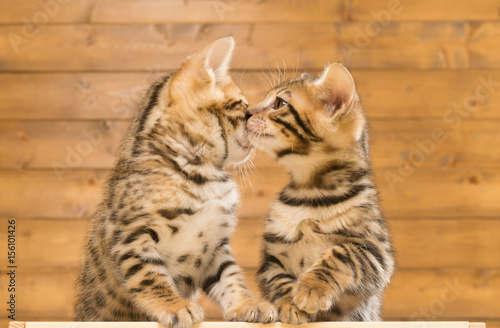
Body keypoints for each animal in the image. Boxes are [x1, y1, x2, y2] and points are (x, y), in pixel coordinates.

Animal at [74, 37, 276, 328]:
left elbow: (231, 278)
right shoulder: (130, 238)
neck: (201, 174)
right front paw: (176, 306)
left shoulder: (214, 246)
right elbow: (149, 277)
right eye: (242, 107)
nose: (255, 118)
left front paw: (247, 305)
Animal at [246, 63, 394, 322]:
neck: (311, 195)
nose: (246, 111)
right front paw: (291, 304)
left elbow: (341, 254)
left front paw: (311, 289)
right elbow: (279, 281)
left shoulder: (376, 251)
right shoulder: (271, 260)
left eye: (279, 103)